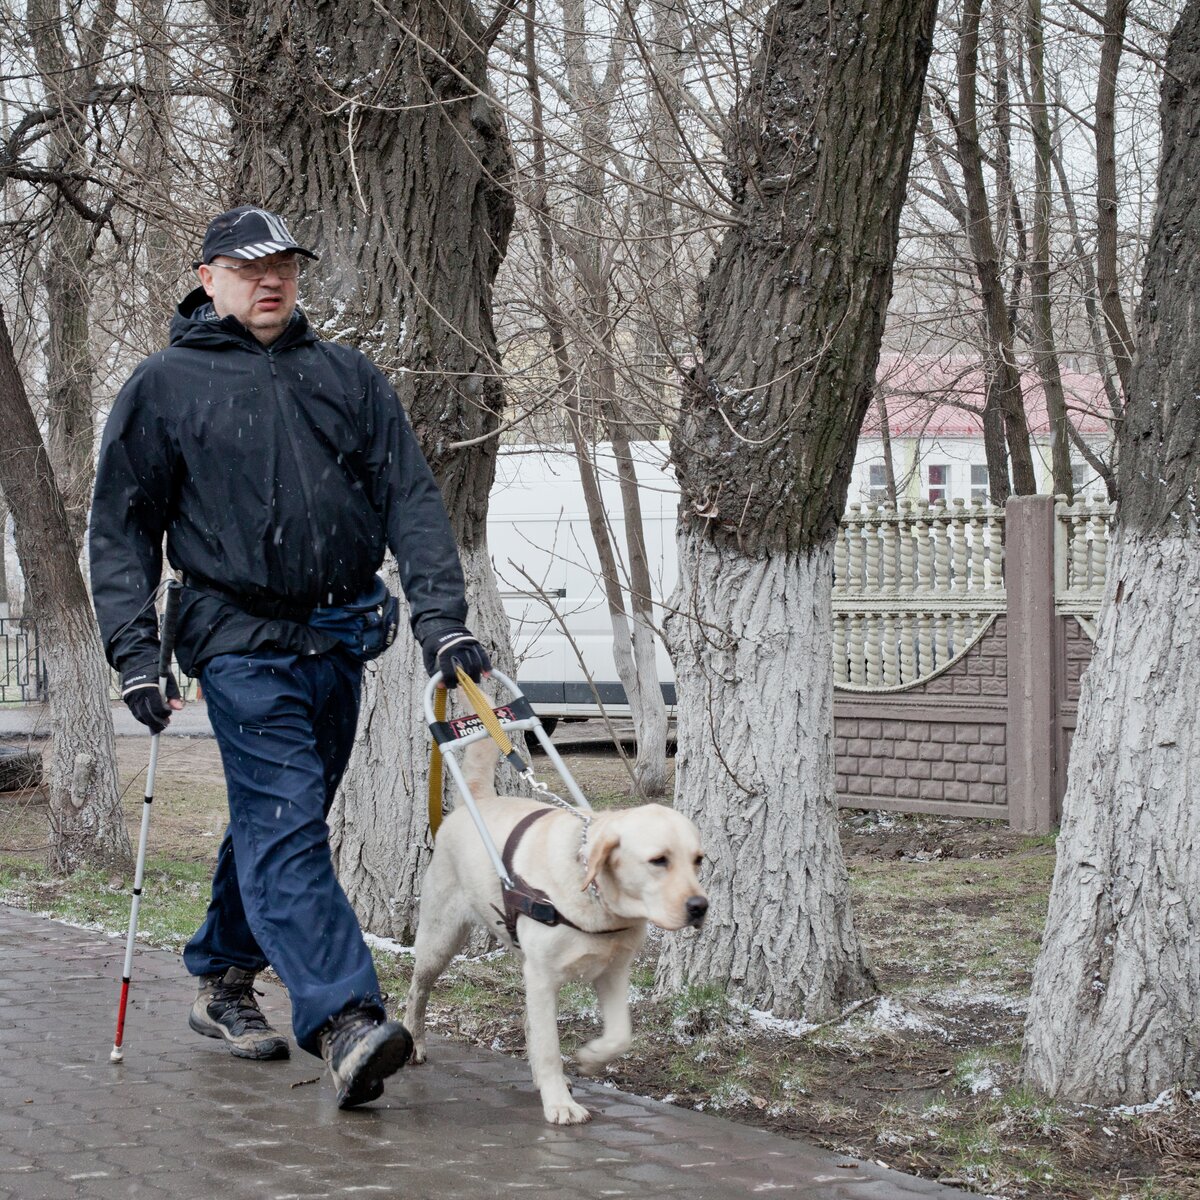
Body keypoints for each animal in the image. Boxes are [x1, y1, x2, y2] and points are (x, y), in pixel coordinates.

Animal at [405, 739, 700, 1123]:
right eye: (659, 860)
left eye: (698, 860)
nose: (700, 906)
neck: (595, 898)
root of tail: (478, 799)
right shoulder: (544, 977)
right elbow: (549, 1047)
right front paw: (559, 1103)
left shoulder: (613, 973)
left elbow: (620, 1035)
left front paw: (590, 1058)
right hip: (440, 940)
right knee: (417, 991)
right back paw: (414, 1040)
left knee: (529, 1021)